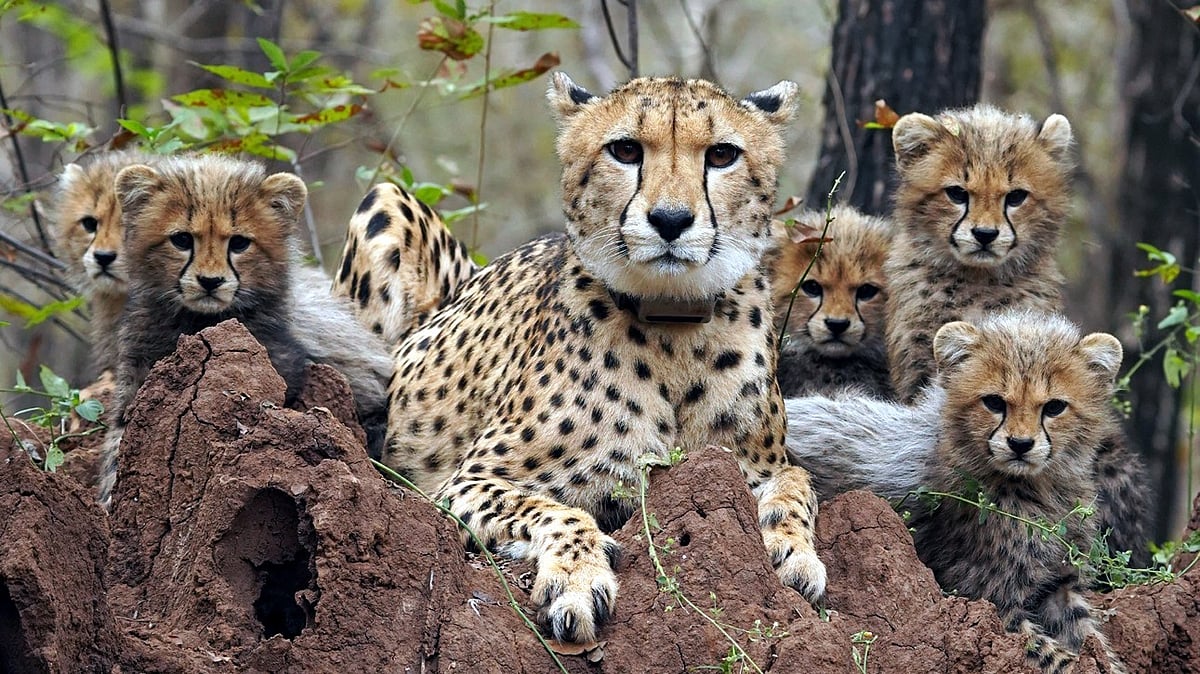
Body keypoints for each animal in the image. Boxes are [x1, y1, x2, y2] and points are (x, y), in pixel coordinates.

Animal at [366, 72, 827, 644]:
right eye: (625, 150)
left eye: (722, 155)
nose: (670, 220)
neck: (672, 326)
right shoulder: (461, 483)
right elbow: (553, 509)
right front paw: (578, 577)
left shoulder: (755, 464)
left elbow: (797, 483)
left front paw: (794, 549)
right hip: (386, 196)